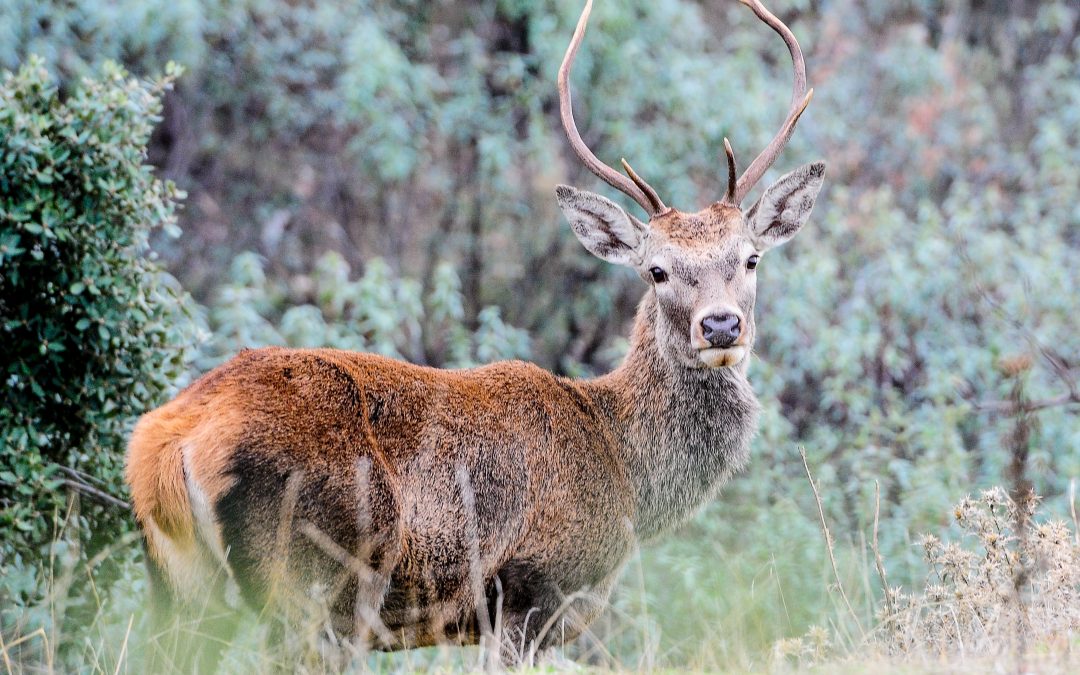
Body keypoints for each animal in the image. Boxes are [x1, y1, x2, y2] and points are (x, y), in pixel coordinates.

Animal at [122, 0, 820, 665]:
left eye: (750, 258)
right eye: (657, 270)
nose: (721, 323)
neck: (624, 468)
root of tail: (170, 441)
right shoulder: (529, 589)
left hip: (178, 584)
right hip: (312, 579)